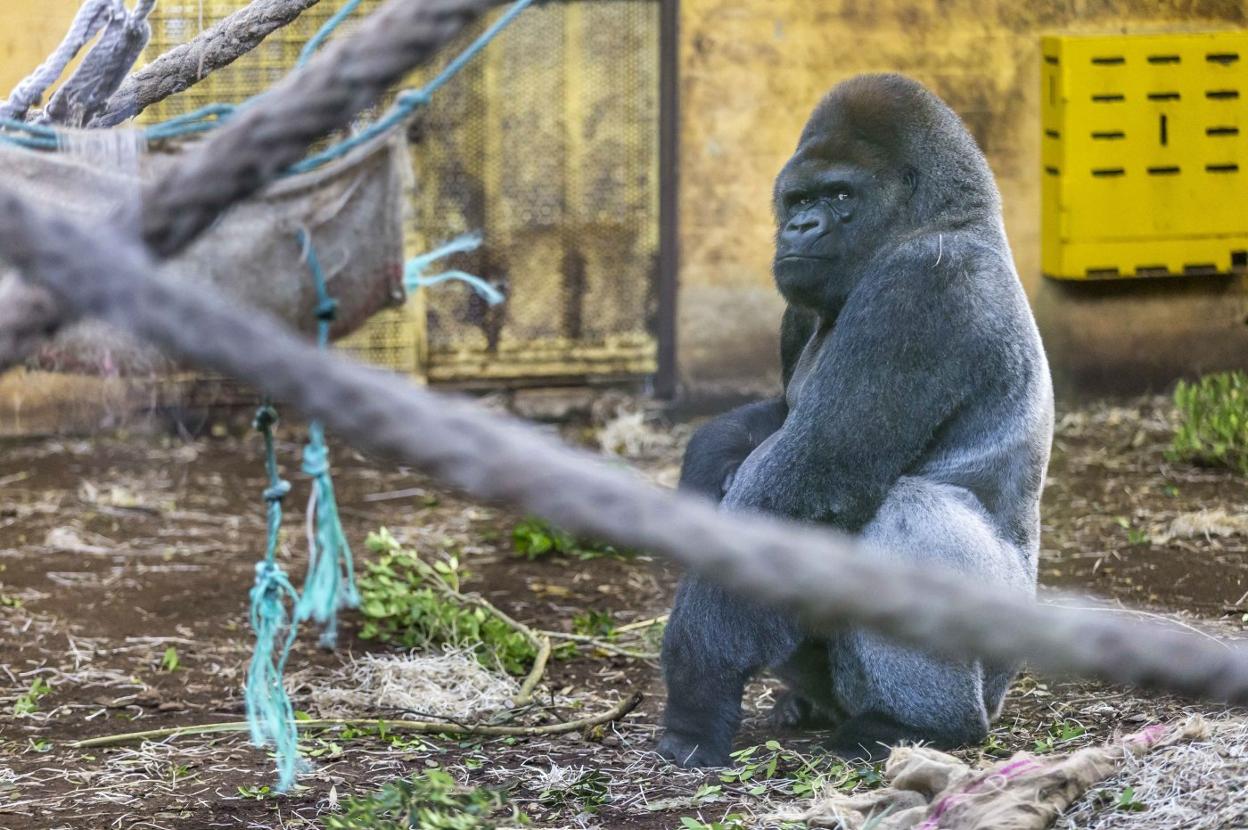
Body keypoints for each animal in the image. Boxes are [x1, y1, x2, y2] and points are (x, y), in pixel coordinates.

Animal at [658, 74, 1058, 768]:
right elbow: (774, 429)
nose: (799, 226)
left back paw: (919, 726)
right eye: (798, 198)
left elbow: (809, 480)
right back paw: (812, 705)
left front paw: (695, 689)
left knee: (907, 513)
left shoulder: (922, 288)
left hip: (999, 665)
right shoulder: (799, 305)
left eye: (840, 195)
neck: (945, 216)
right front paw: (710, 455)